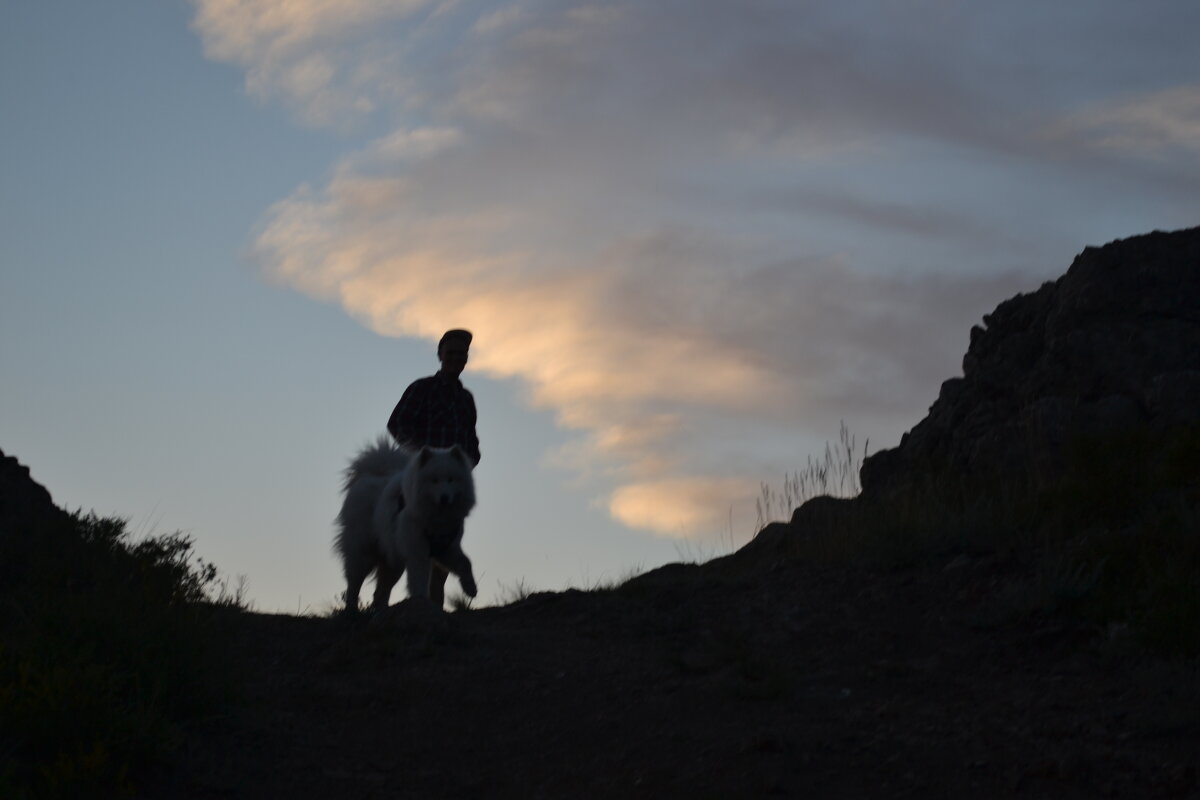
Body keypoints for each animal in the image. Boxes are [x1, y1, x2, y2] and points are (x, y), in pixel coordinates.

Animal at [333, 434, 477, 609]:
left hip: (392, 560)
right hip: (362, 553)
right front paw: (421, 600)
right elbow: (419, 578)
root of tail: (369, 476)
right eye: (434, 480)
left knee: (381, 590)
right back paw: (352, 609)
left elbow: (466, 563)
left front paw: (471, 588)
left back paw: (380, 609)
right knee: (353, 585)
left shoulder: (447, 548)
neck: (436, 519)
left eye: (451, 479)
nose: (444, 498)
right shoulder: (417, 551)